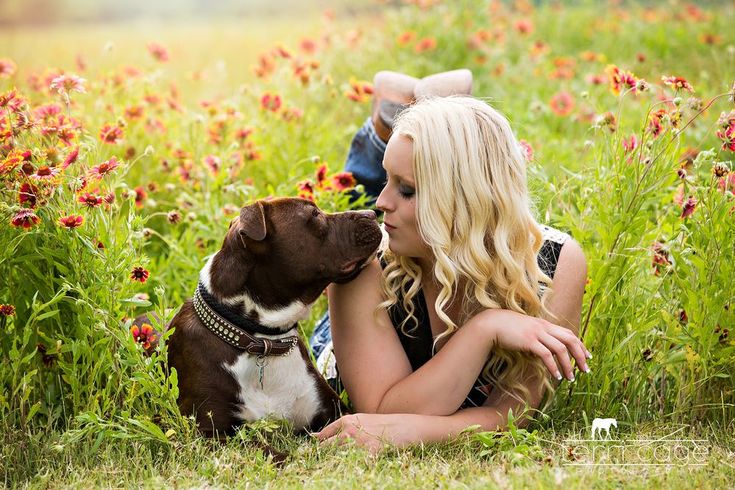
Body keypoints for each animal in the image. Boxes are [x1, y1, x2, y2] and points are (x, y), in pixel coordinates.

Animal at [140, 197, 386, 438]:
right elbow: (271, 450)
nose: (372, 213)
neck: (263, 339)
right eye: (314, 215)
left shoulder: (334, 411)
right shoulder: (208, 432)